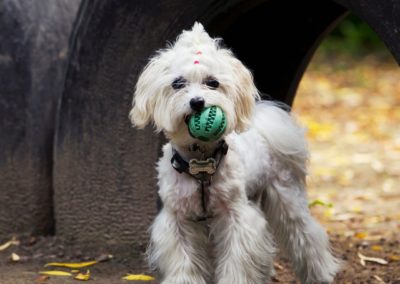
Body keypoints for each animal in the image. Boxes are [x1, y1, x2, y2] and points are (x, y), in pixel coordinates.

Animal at [130, 22, 340, 284]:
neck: (201, 161)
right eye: (177, 83)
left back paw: (321, 274)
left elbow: (237, 258)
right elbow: (183, 260)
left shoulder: (236, 217)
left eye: (213, 83)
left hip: (286, 194)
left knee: (306, 234)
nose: (197, 102)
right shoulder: (177, 219)